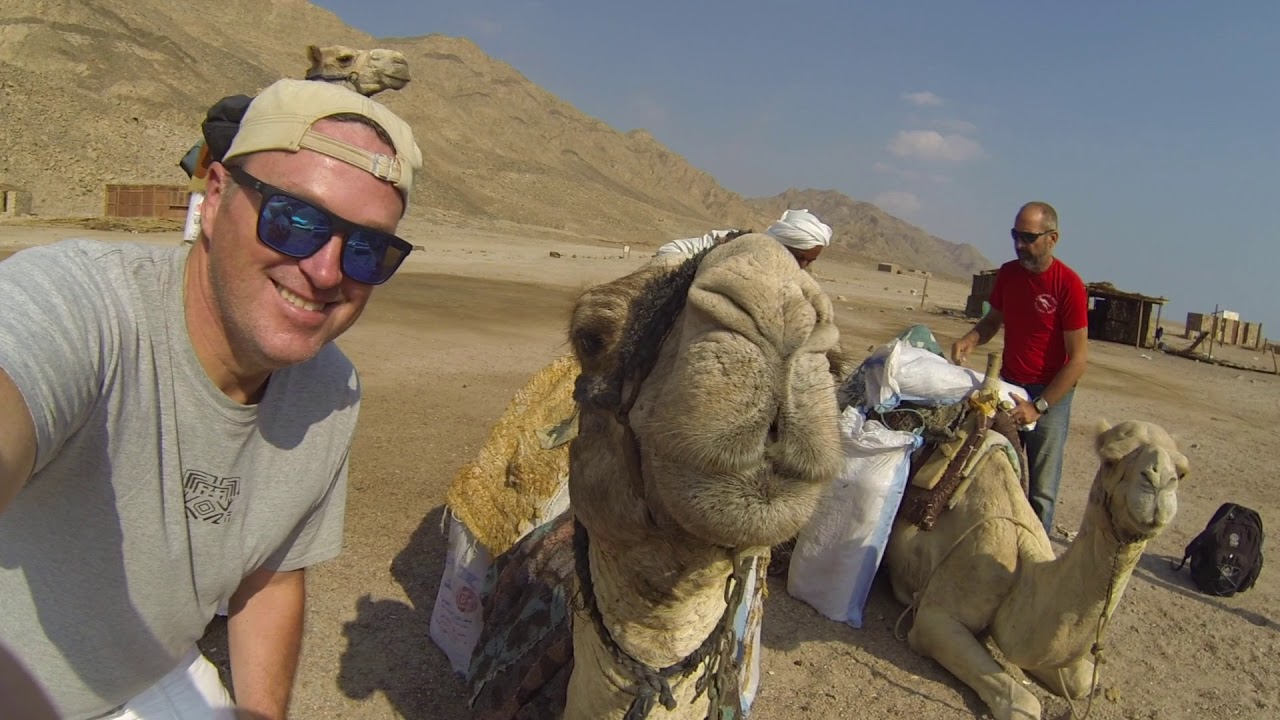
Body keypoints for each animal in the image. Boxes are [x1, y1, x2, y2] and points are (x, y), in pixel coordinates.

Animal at [883, 412, 1188, 720]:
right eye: (1109, 460)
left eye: (1182, 472)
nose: (1158, 485)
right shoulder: (934, 618)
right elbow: (1025, 705)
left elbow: (1084, 679)